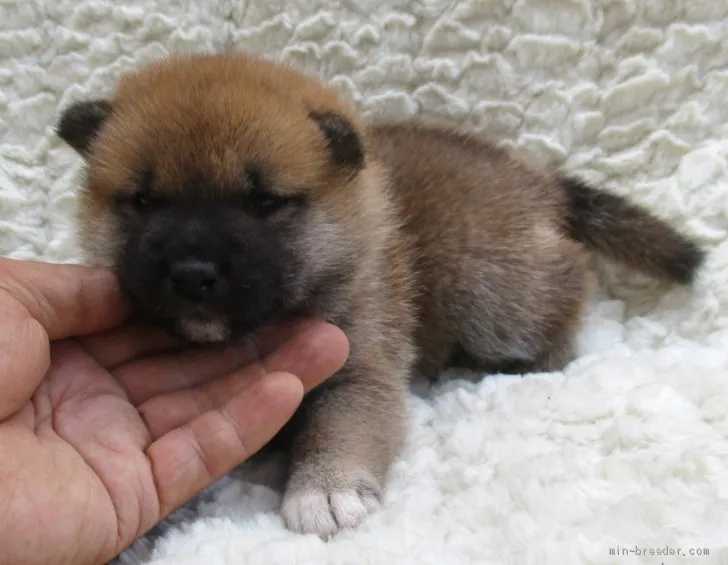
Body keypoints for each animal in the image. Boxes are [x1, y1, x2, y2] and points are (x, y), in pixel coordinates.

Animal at [54, 50, 704, 536]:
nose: (192, 273)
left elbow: (342, 424)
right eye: (143, 201)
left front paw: (326, 488)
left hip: (495, 296)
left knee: (566, 284)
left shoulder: (359, 366)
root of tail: (538, 181)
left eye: (263, 202)